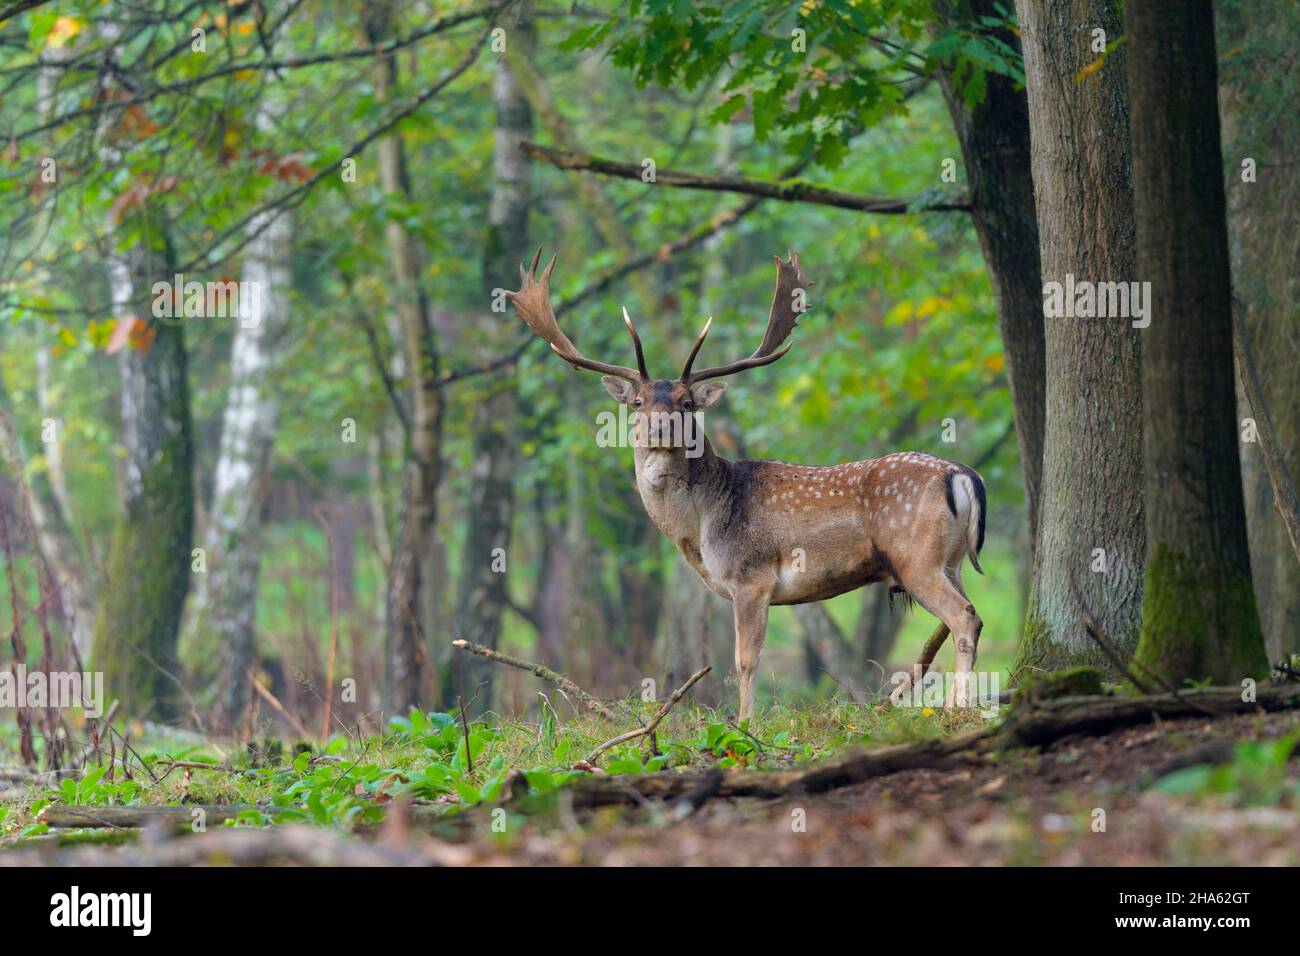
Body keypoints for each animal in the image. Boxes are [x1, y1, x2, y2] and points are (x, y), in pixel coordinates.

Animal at [506, 247, 982, 717]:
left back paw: (960, 707)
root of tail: (961, 475)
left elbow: (745, 660)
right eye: (637, 401)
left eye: (687, 402)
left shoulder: (751, 576)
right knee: (969, 615)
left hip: (915, 555)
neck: (699, 530)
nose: (660, 427)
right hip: (951, 560)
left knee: (964, 616)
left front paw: (745, 722)